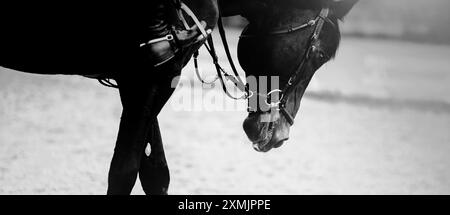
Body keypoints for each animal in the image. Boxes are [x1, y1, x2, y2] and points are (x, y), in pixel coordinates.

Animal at [0, 0, 358, 195]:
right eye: (320, 54)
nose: (279, 134)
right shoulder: (149, 81)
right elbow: (124, 171)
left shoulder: (146, 82)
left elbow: (155, 173)